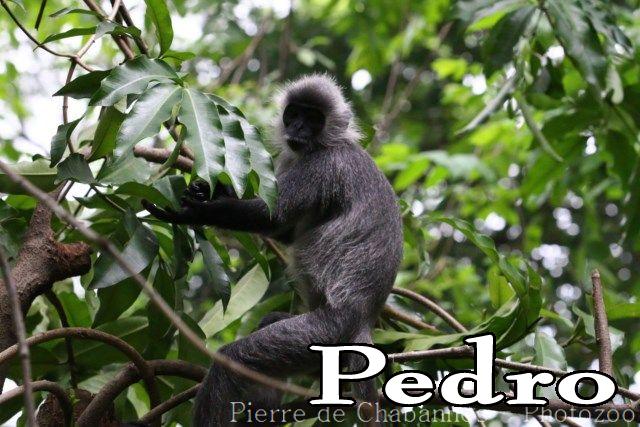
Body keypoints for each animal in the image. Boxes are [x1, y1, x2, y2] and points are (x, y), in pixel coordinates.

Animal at [142, 74, 403, 426]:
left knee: (235, 360)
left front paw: (192, 212)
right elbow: (285, 232)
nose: (299, 129)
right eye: (294, 114)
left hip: (324, 333)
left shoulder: (322, 166)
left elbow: (272, 216)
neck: (324, 145)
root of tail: (363, 319)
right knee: (269, 324)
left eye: (314, 119)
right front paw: (210, 190)